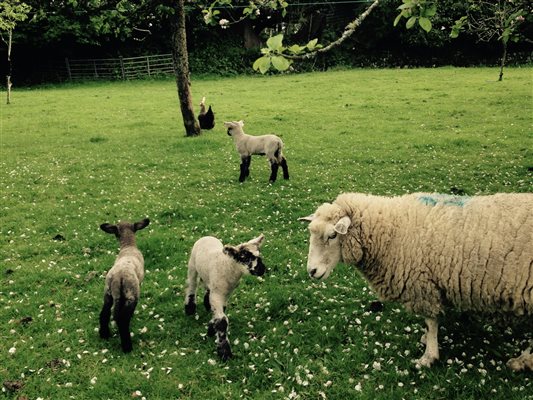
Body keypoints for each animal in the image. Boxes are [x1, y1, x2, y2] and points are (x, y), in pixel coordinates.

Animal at [98, 219, 150, 354]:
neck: (128, 246)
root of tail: (118, 277)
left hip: (108, 292)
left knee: (104, 313)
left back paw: (104, 334)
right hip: (131, 294)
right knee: (122, 319)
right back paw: (127, 347)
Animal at [300, 192, 532, 370]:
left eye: (332, 236)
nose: (311, 271)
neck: (392, 231)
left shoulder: (422, 286)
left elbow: (430, 322)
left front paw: (429, 356)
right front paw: (426, 342)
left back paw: (522, 360)